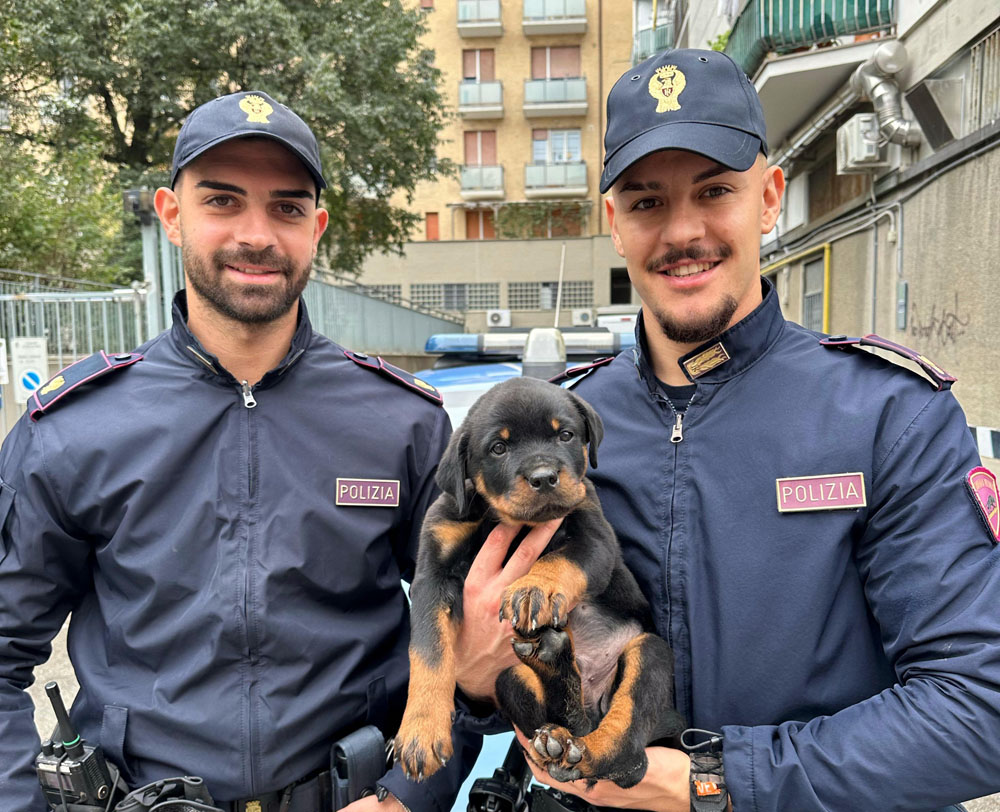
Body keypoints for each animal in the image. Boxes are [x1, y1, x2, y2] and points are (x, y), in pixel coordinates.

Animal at [394, 380, 684, 788]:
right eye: (499, 448)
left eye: (565, 435)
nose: (544, 477)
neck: (502, 519)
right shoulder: (432, 574)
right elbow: (428, 652)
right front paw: (420, 733)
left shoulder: (594, 538)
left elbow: (558, 559)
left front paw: (534, 589)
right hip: (510, 678)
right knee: (571, 719)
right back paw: (557, 692)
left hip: (649, 652)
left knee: (623, 746)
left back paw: (587, 749)